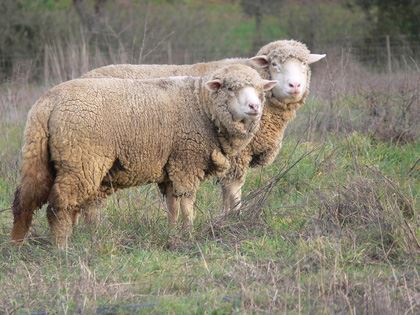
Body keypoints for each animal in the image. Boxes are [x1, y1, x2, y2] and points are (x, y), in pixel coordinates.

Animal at [9, 65, 278, 247]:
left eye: (259, 89)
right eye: (231, 88)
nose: (254, 107)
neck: (202, 106)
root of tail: (48, 102)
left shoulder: (171, 167)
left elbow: (172, 205)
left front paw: (172, 232)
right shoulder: (186, 161)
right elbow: (187, 202)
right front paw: (189, 233)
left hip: (40, 156)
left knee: (25, 200)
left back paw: (21, 242)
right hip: (82, 160)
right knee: (60, 204)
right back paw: (62, 247)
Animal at [81, 40, 324, 212]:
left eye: (304, 64)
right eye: (274, 64)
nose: (295, 85)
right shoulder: (235, 156)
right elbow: (233, 189)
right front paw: (232, 217)